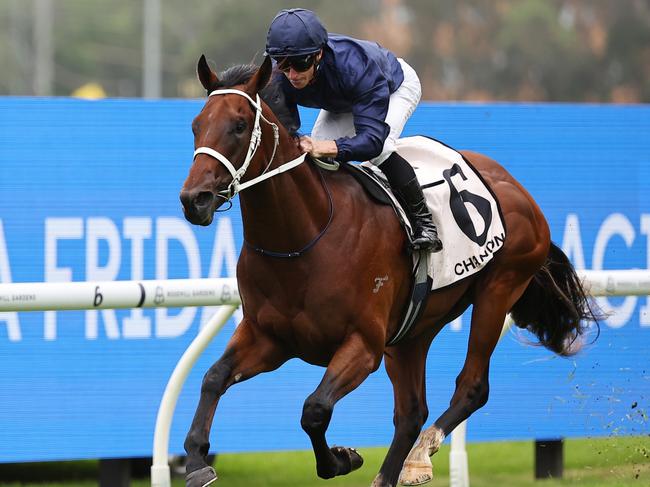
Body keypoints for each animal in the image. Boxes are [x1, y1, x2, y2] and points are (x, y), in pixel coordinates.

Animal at [177, 55, 596, 486]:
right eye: (196, 124)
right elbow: (213, 378)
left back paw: (419, 455)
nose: (195, 199)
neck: (302, 240)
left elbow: (314, 409)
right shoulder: (269, 337)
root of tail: (516, 188)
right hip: (414, 330)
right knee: (411, 411)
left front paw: (342, 459)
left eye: (239, 125)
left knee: (471, 387)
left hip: (498, 291)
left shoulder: (363, 344)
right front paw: (196, 461)